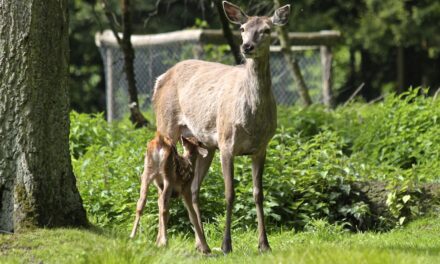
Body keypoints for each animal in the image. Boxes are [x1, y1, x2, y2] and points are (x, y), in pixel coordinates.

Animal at [153, 1, 290, 253]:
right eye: (243, 28)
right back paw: (164, 241)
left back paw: (202, 245)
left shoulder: (261, 148)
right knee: (163, 188)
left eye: (267, 30)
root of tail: (160, 79)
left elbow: (258, 194)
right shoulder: (227, 144)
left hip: (204, 144)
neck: (251, 119)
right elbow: (229, 194)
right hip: (166, 125)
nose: (247, 46)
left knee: (194, 190)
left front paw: (264, 244)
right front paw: (226, 245)